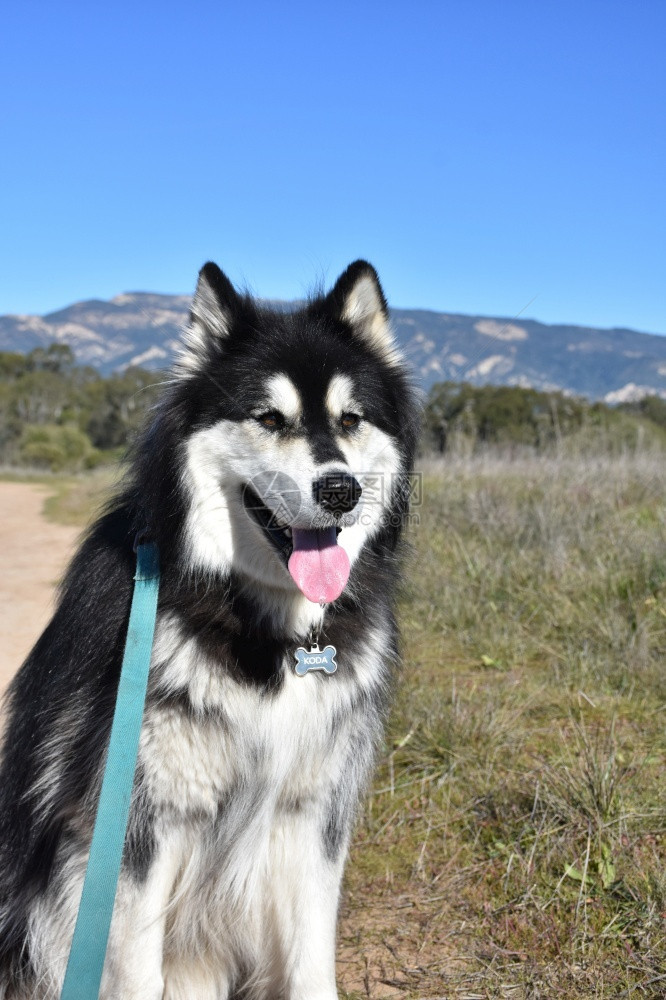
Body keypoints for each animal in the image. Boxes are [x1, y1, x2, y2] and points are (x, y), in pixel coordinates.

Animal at [0, 264, 418, 1000]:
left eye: (351, 419)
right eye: (269, 418)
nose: (339, 489)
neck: (270, 627)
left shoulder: (311, 815)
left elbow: (312, 964)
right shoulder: (136, 833)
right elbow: (135, 972)